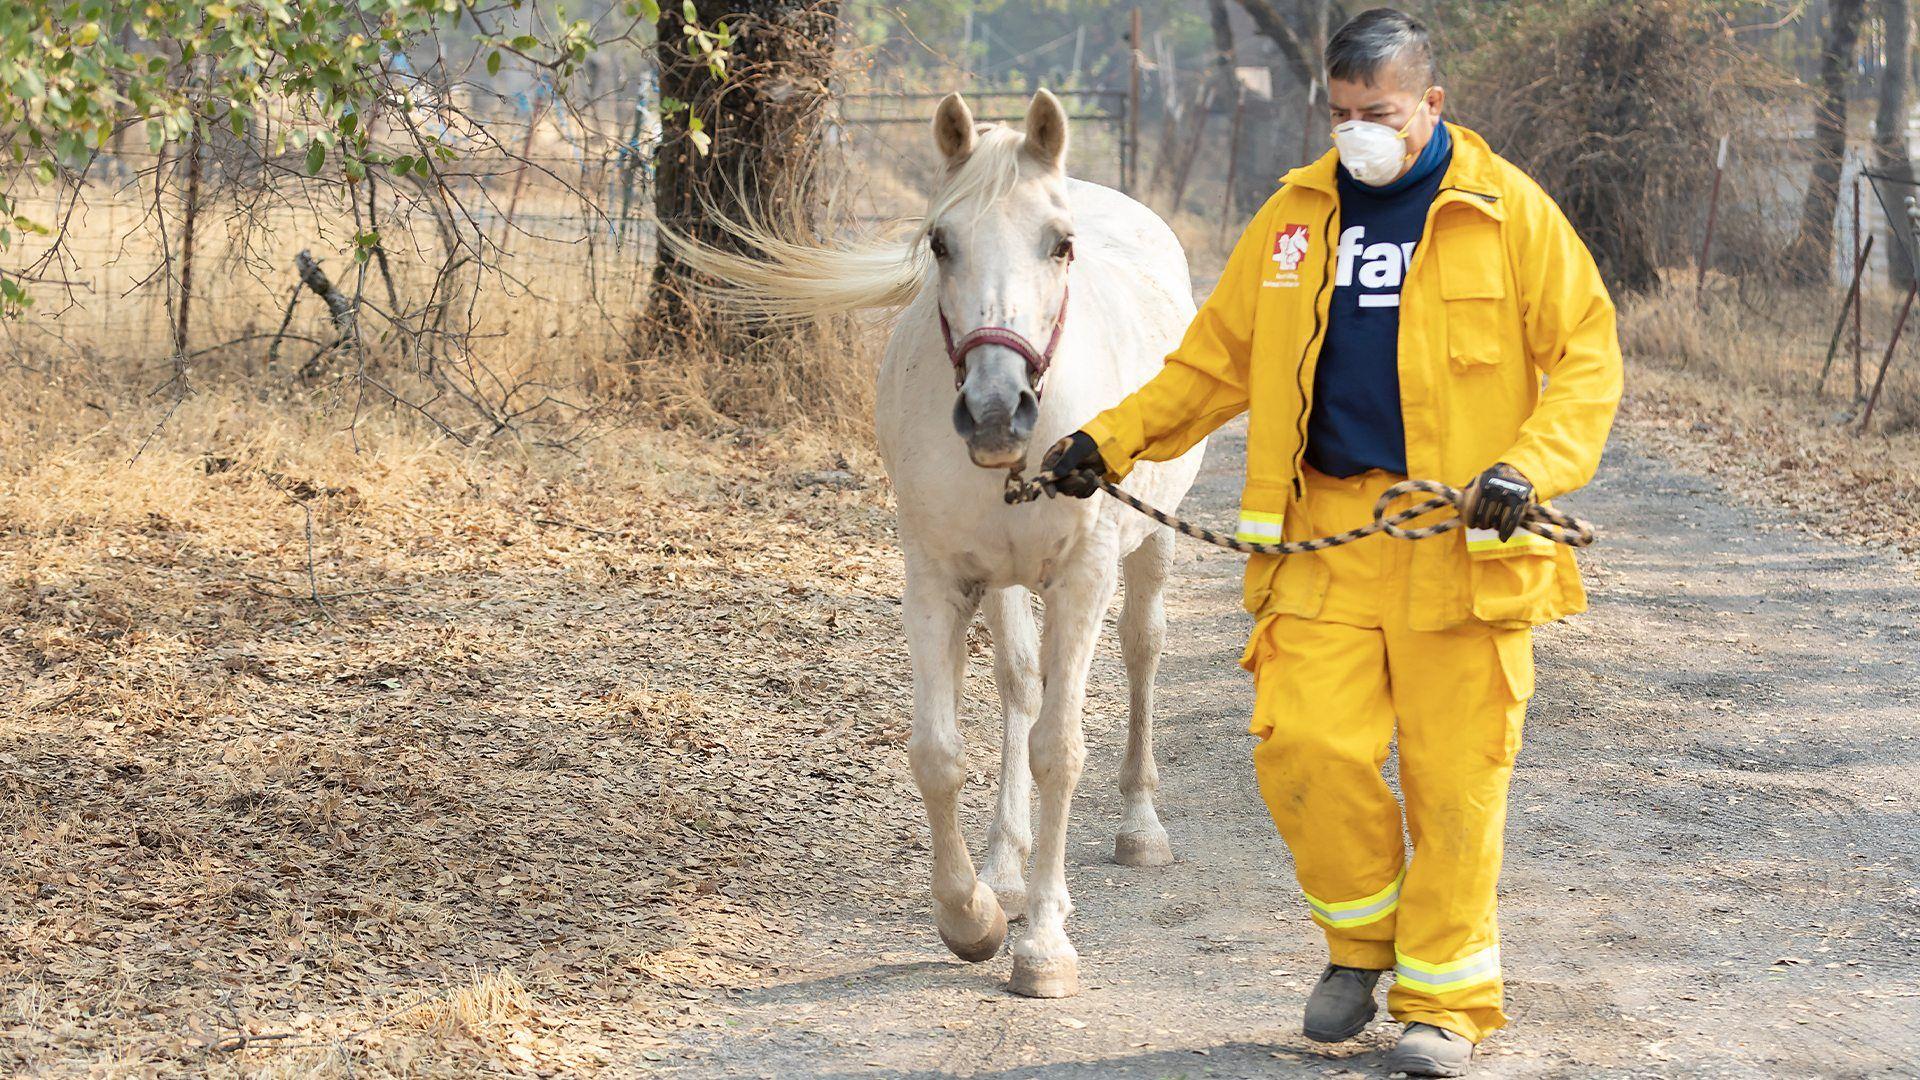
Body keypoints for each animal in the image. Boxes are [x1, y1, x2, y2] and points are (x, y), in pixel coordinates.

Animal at [675, 90, 1198, 991]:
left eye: (1060, 244)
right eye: (941, 242)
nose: (995, 410)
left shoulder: (1083, 578)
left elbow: (1059, 750)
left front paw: (1044, 946)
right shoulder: (937, 579)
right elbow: (939, 753)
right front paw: (974, 915)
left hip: (1148, 552)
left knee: (1141, 651)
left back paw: (1139, 827)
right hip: (1006, 581)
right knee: (1021, 685)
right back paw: (1006, 870)